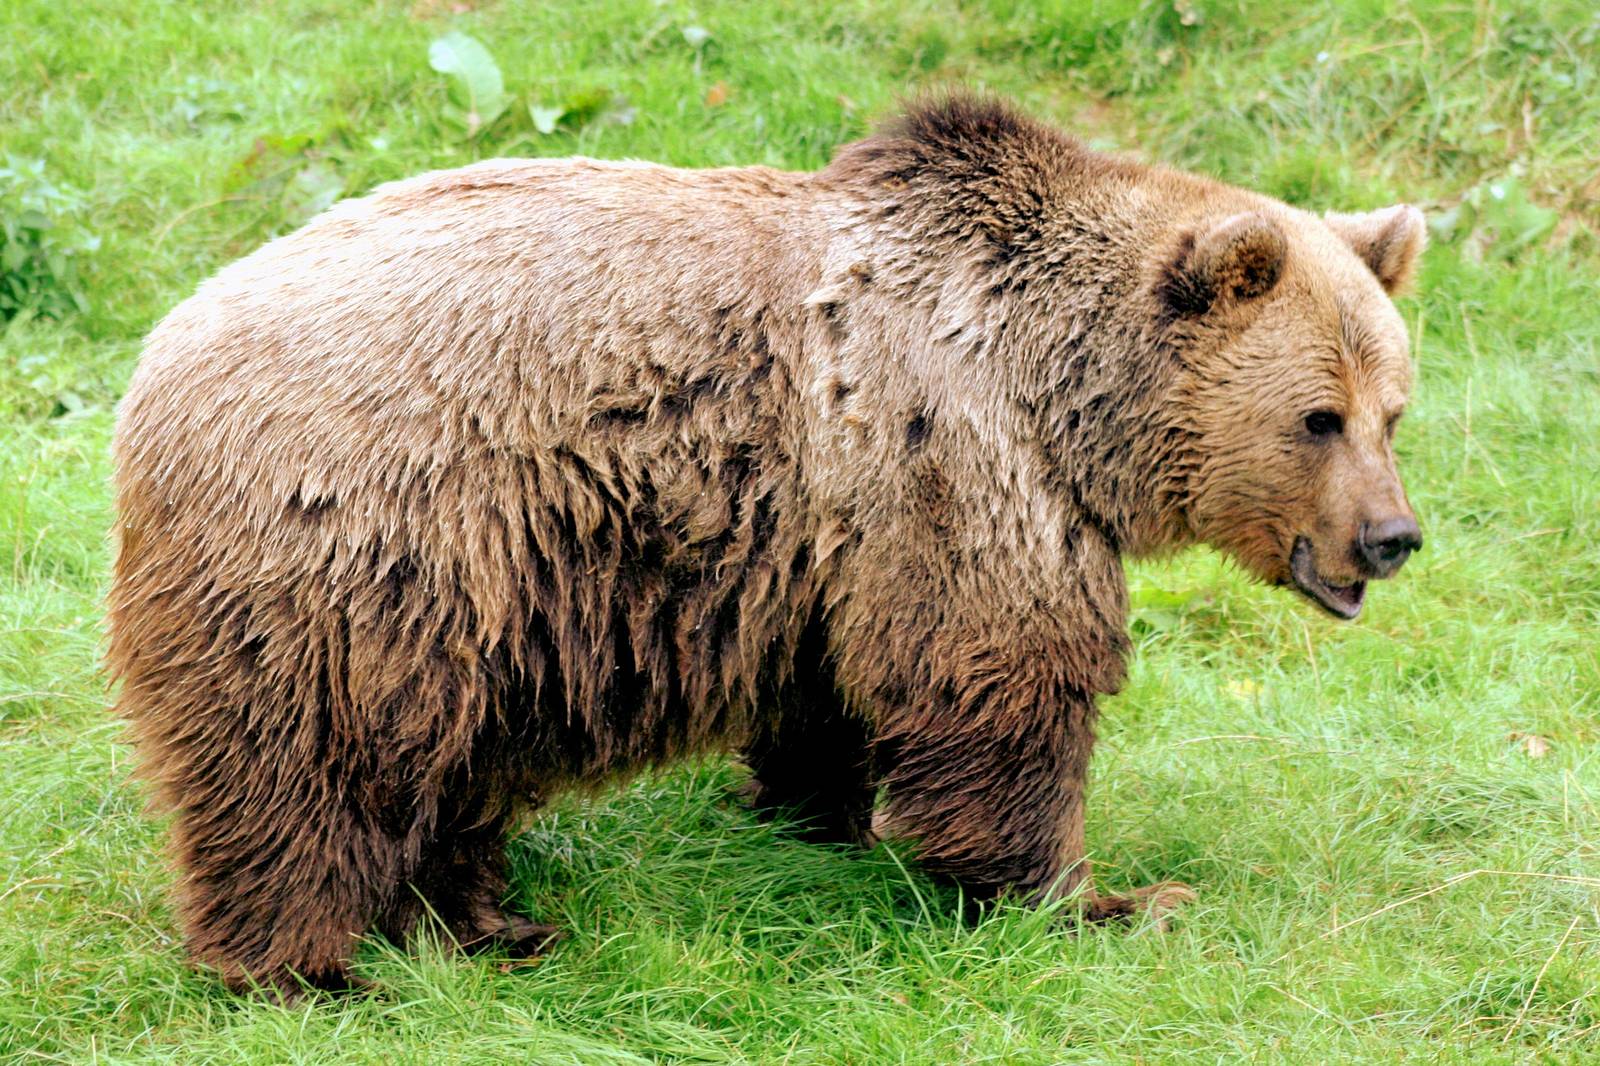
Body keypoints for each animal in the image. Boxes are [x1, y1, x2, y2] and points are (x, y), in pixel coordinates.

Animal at [107, 95, 1425, 997]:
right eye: (1317, 416)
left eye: (1394, 410)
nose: (1391, 536)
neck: (1059, 388)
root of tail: (155, 367)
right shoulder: (952, 448)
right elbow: (1006, 677)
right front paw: (1102, 895)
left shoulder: (831, 528)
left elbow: (835, 681)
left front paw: (821, 811)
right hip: (370, 547)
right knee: (305, 771)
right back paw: (309, 967)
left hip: (471, 600)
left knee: (445, 772)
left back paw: (491, 925)